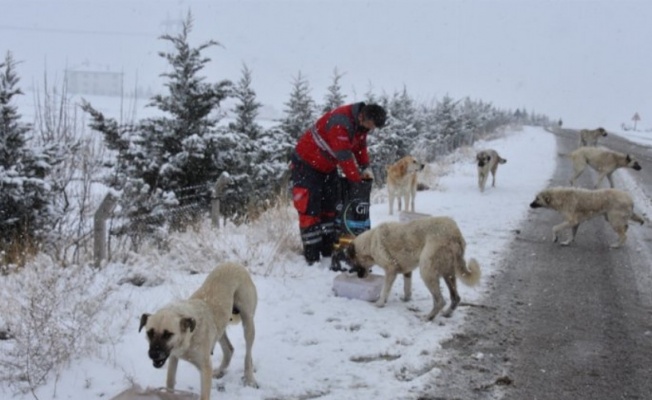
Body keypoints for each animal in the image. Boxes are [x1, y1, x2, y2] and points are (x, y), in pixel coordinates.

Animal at [139, 262, 258, 400]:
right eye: (149, 333)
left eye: (168, 334)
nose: (153, 354)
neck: (190, 335)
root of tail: (234, 264)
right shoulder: (174, 357)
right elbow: (170, 382)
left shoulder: (205, 367)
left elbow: (204, 395)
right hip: (220, 328)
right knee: (229, 350)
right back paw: (220, 371)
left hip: (248, 323)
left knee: (247, 357)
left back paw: (250, 379)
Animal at [338, 217, 482, 320]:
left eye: (350, 262)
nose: (359, 277)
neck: (370, 242)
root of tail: (455, 234)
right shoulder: (407, 271)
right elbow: (407, 287)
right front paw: (406, 299)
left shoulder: (391, 269)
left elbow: (385, 290)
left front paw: (380, 303)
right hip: (448, 274)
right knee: (455, 298)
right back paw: (446, 314)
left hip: (426, 271)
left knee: (440, 300)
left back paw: (428, 318)